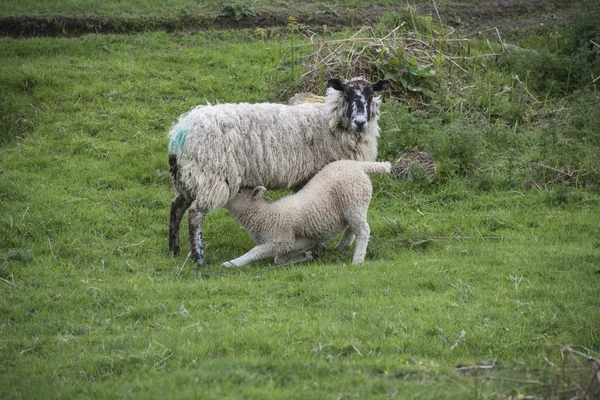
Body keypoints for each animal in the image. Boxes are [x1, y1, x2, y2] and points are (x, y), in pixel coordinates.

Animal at [223, 159, 392, 266]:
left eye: (239, 192)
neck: (264, 215)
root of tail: (360, 165)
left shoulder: (282, 239)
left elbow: (256, 251)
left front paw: (232, 263)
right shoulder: (295, 242)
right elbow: (279, 259)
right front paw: (306, 256)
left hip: (354, 201)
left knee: (363, 230)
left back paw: (357, 260)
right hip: (351, 208)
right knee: (352, 228)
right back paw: (341, 247)